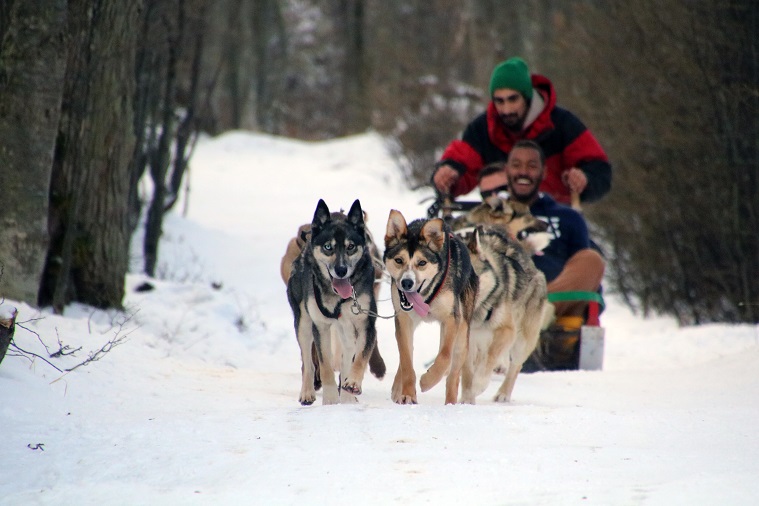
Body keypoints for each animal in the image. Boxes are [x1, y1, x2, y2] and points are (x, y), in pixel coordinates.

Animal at [284, 200, 380, 406]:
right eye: (328, 247)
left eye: (351, 246)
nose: (341, 270)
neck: (339, 298)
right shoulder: (320, 326)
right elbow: (325, 364)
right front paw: (329, 399)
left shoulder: (366, 325)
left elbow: (360, 358)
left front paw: (352, 385)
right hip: (303, 324)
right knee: (307, 362)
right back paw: (307, 392)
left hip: (347, 332)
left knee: (346, 359)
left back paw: (347, 396)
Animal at [382, 210, 478, 404]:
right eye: (398, 260)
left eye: (422, 263)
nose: (407, 282)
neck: (427, 297)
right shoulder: (404, 320)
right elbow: (406, 361)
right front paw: (408, 394)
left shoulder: (451, 319)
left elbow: (444, 356)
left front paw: (427, 380)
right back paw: (398, 388)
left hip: (462, 333)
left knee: (453, 375)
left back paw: (450, 402)